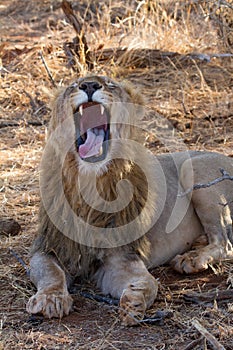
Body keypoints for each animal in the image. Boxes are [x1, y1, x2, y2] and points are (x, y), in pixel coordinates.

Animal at [26, 75, 233, 326]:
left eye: (110, 84)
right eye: (74, 85)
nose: (89, 85)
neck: (89, 183)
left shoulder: (122, 257)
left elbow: (147, 283)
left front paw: (133, 303)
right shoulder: (50, 247)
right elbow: (50, 272)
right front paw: (51, 299)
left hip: (194, 172)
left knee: (224, 243)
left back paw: (191, 259)